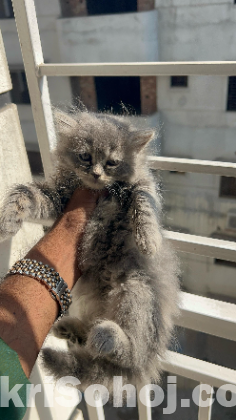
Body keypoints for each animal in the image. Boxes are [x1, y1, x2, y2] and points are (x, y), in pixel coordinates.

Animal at [0, 110, 181, 392]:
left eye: (112, 162)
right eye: (85, 156)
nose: (96, 174)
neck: (99, 193)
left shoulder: (142, 182)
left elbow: (144, 201)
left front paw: (148, 239)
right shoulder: (58, 197)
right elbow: (25, 192)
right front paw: (8, 220)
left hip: (135, 289)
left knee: (132, 354)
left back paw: (109, 337)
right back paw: (71, 330)